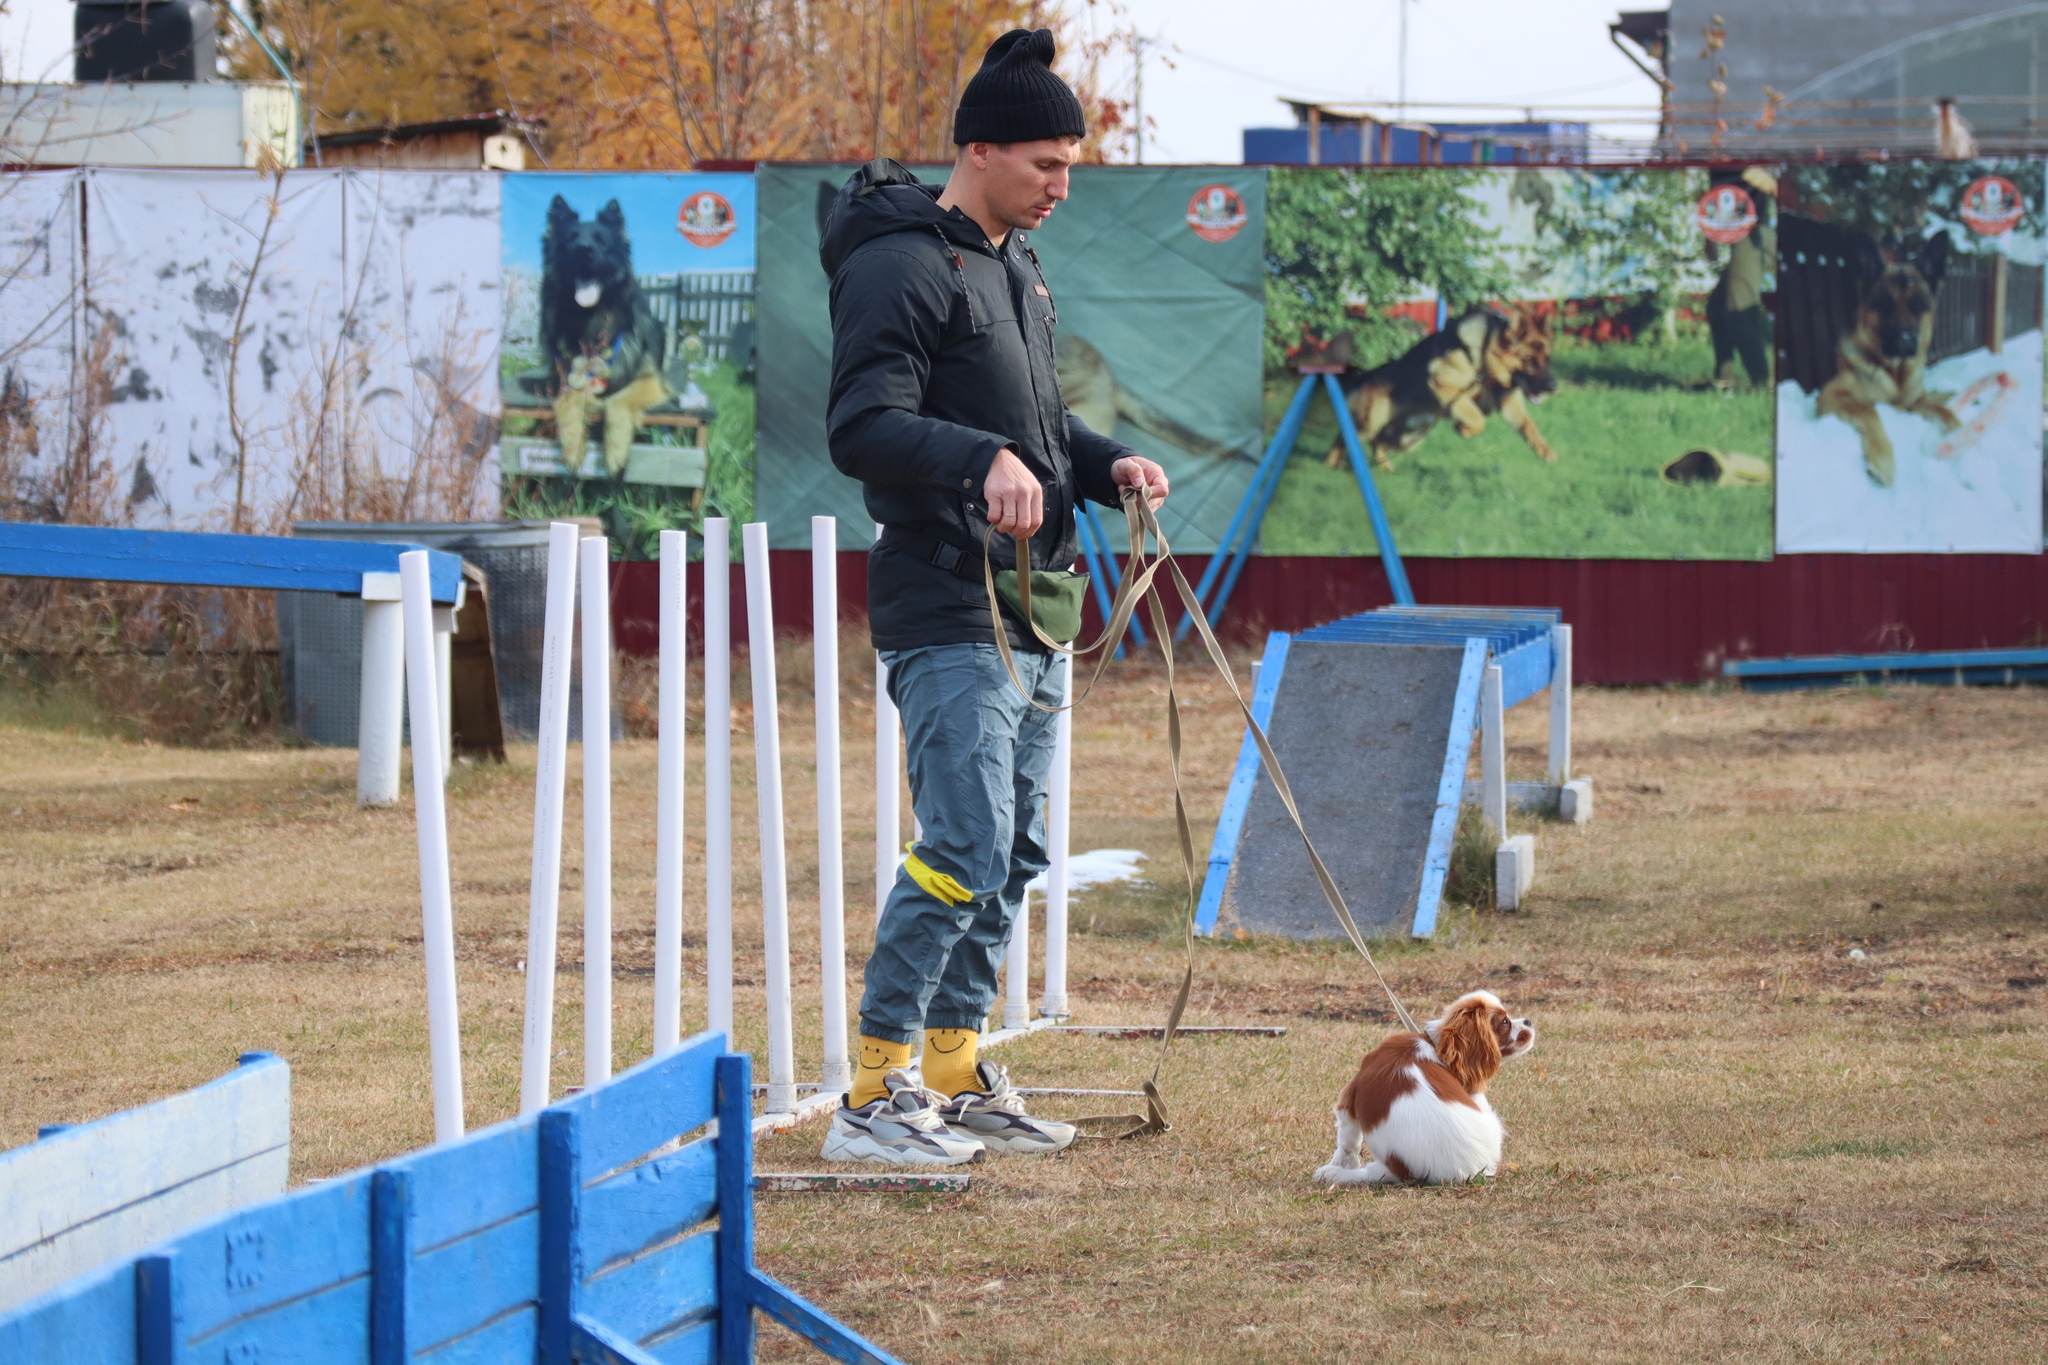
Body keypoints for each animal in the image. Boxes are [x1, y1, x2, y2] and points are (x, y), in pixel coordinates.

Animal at [1318, 994, 1531, 1186]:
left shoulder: (1349, 1098)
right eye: (1505, 1022)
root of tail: (1469, 1173)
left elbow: (1348, 1141)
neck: (1433, 1044)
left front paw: (1341, 1165)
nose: (1528, 1021)